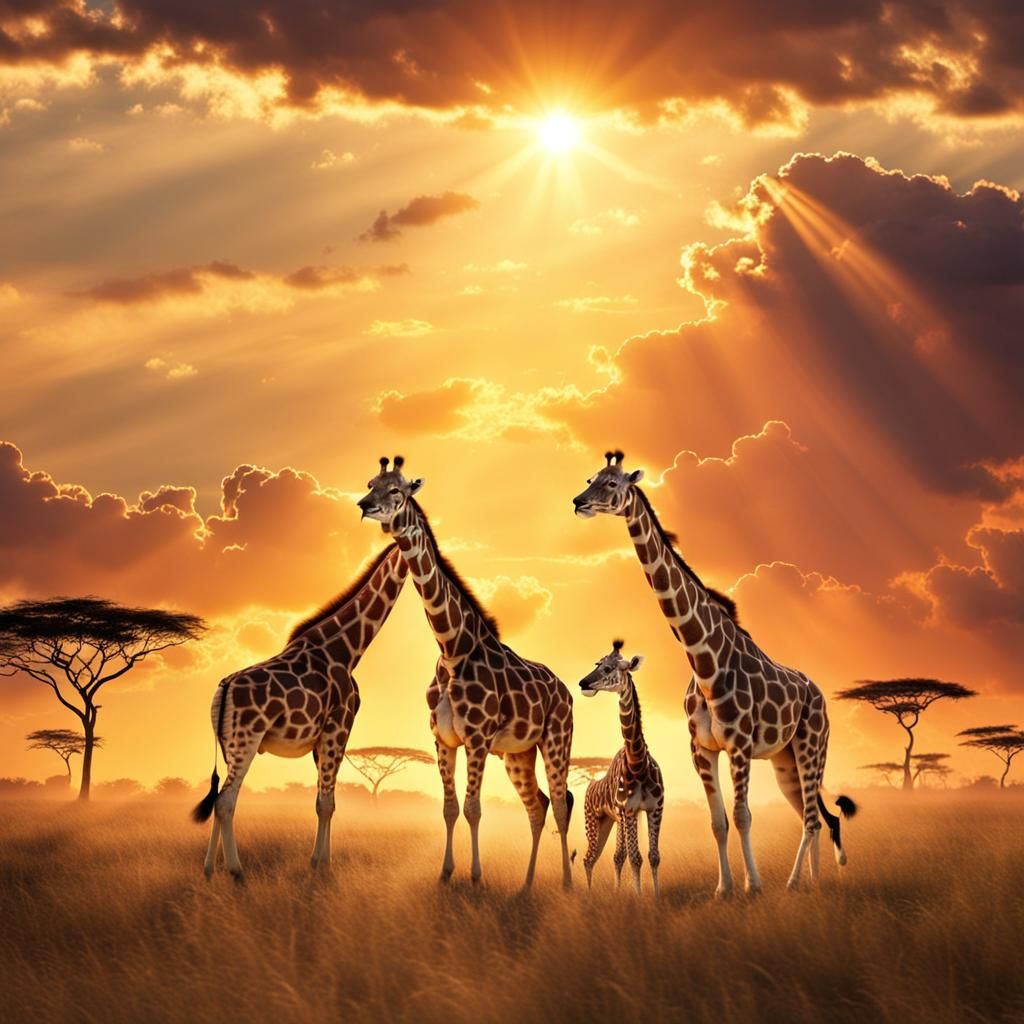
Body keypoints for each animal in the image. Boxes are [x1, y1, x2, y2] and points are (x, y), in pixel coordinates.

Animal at [192, 543, 407, 881]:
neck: (347, 649)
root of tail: (223, 691)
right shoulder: (339, 728)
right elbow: (326, 803)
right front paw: (319, 865)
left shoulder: (322, 739)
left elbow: (327, 800)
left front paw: (324, 861)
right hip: (247, 739)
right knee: (226, 800)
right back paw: (237, 871)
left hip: (229, 744)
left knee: (218, 798)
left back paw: (209, 869)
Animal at [357, 456, 575, 889]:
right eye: (371, 483)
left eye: (397, 490)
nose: (364, 505)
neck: (451, 648)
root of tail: (566, 691)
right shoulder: (443, 740)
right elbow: (449, 808)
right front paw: (445, 873)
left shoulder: (476, 738)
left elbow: (474, 807)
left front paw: (475, 877)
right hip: (518, 753)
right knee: (537, 805)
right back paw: (526, 885)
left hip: (557, 739)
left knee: (560, 803)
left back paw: (567, 883)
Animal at [579, 640, 665, 897]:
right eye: (597, 663)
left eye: (608, 668)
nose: (583, 684)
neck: (638, 763)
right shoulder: (630, 810)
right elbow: (636, 858)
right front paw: (638, 897)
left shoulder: (655, 809)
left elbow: (653, 856)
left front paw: (656, 896)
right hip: (594, 819)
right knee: (589, 858)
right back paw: (589, 894)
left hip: (613, 820)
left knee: (616, 856)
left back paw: (616, 892)